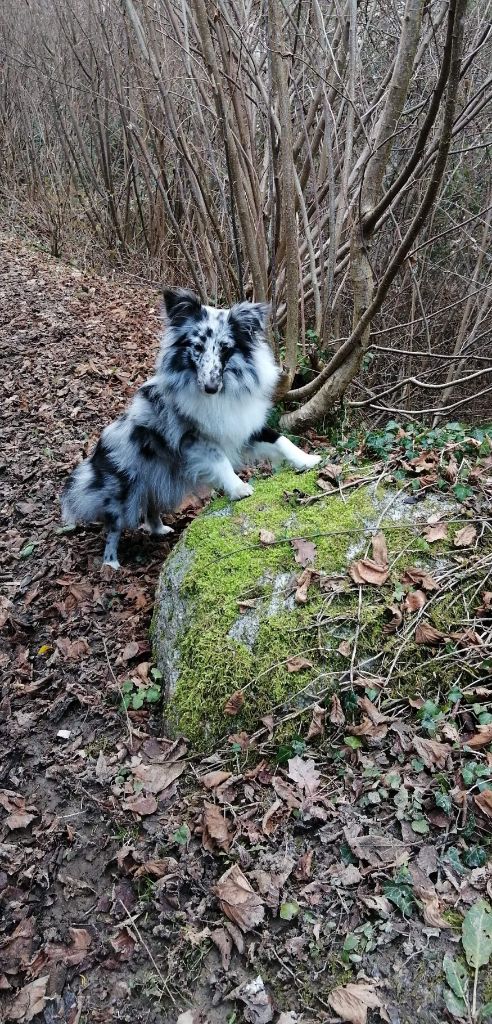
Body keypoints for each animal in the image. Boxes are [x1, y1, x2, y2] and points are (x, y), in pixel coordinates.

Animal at [61, 288, 321, 569]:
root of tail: (95, 453)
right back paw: (110, 564)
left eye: (225, 348)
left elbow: (281, 440)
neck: (221, 395)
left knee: (151, 505)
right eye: (197, 347)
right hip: (123, 490)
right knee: (113, 527)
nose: (210, 387)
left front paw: (307, 460)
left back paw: (159, 529)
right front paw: (238, 488)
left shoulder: (244, 427)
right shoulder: (195, 440)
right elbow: (221, 462)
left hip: (156, 479)